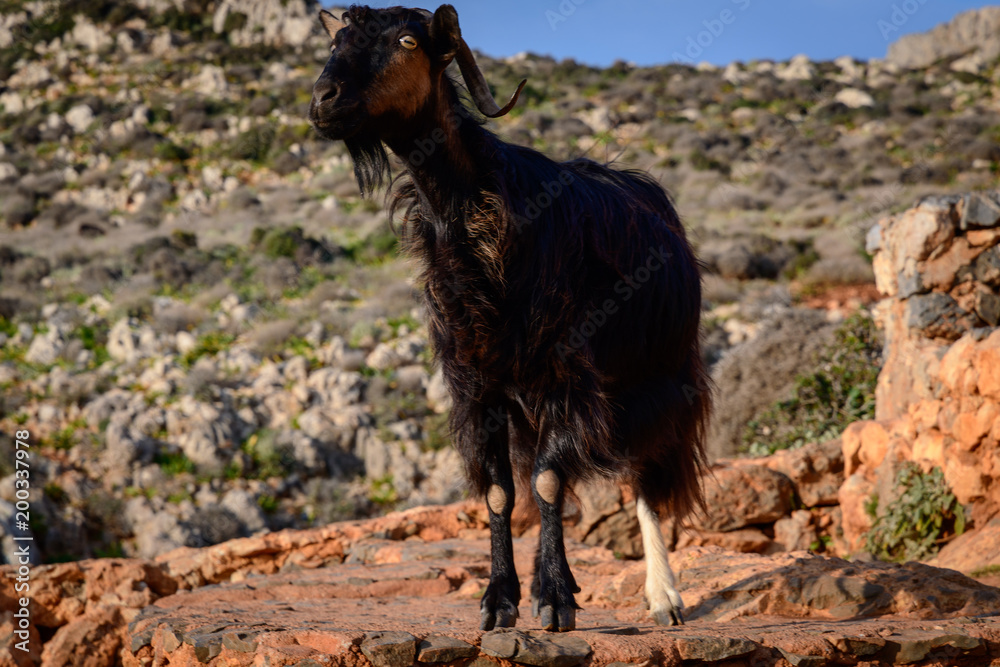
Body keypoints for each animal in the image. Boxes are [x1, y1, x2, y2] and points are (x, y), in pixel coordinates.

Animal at [310, 3, 712, 632]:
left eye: (407, 41)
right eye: (337, 40)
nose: (323, 99)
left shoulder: (566, 373)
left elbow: (547, 479)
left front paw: (554, 600)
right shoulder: (480, 384)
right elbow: (502, 491)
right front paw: (500, 600)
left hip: (657, 379)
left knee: (643, 473)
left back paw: (662, 597)